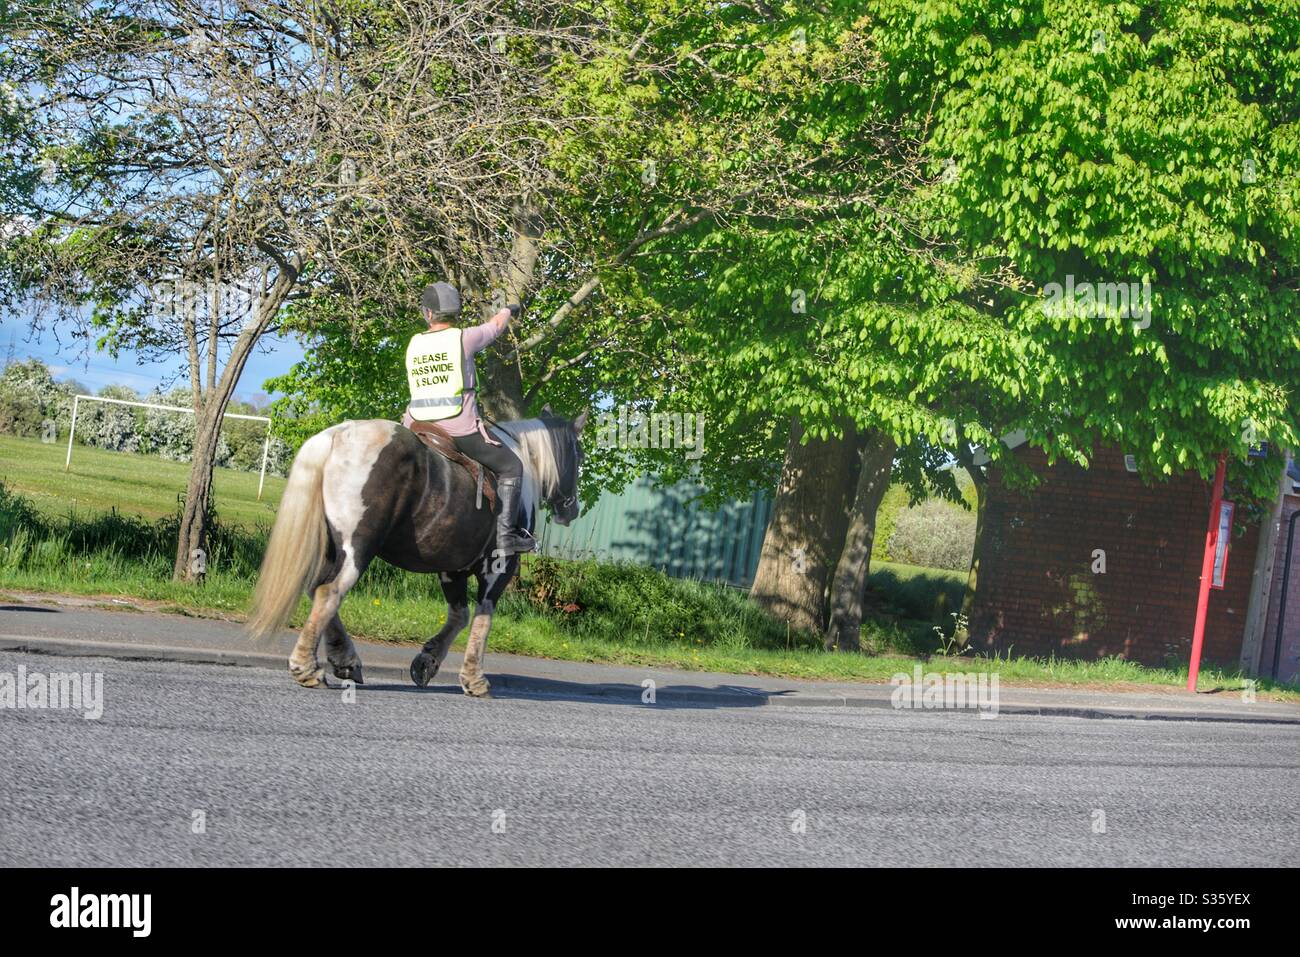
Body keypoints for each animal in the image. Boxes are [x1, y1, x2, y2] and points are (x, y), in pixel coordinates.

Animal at [246, 407, 586, 696]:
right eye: (579, 454)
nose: (571, 510)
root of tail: (337, 435)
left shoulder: (453, 567)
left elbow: (459, 615)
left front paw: (427, 662)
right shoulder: (498, 568)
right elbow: (482, 618)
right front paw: (474, 679)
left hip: (332, 548)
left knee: (316, 589)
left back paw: (344, 660)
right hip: (357, 549)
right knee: (329, 592)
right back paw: (307, 668)